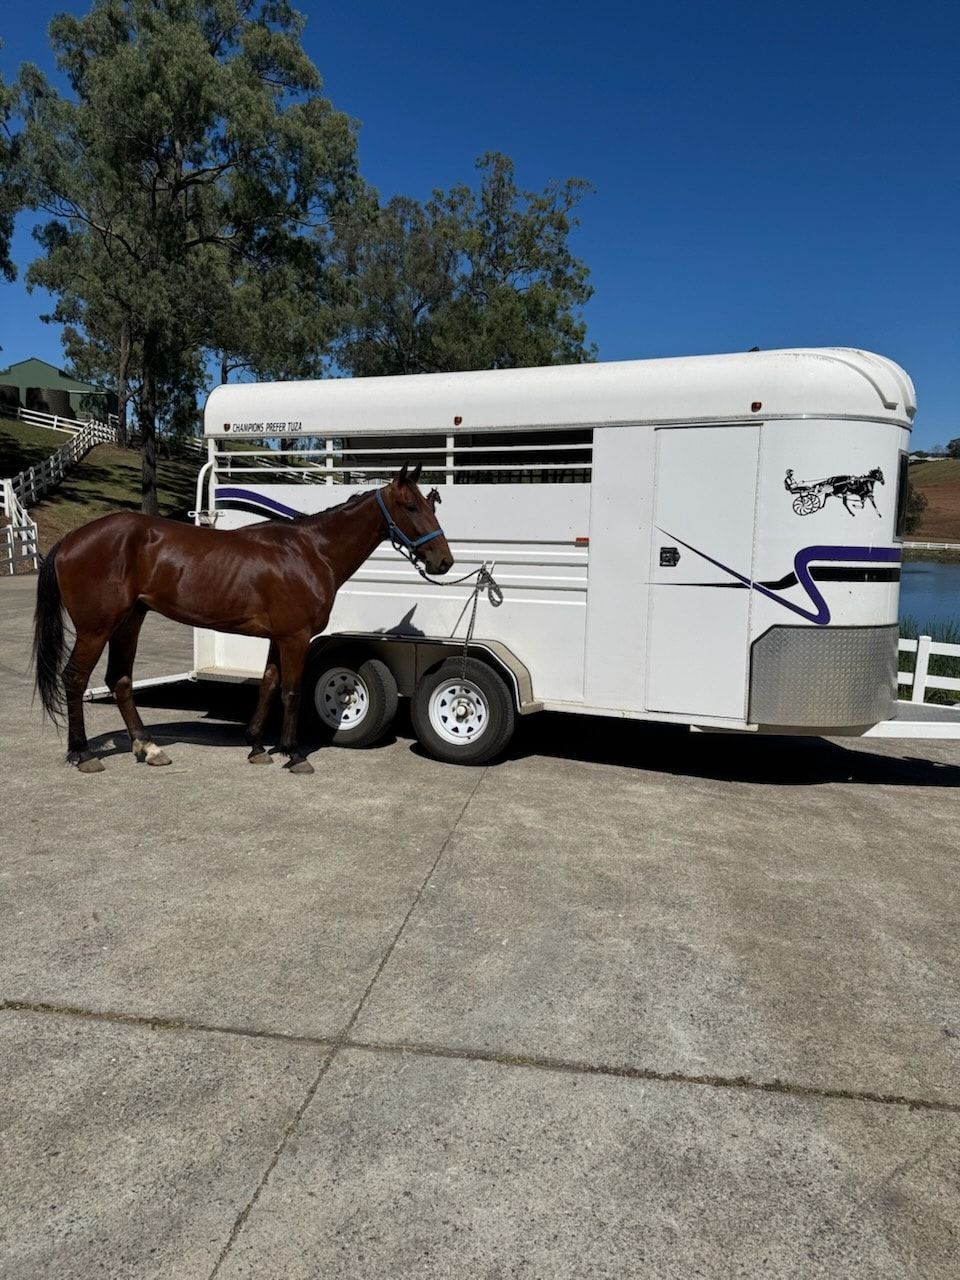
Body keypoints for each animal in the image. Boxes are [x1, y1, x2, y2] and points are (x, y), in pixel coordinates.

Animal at [32, 463, 452, 775]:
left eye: (432, 505)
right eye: (411, 507)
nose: (443, 561)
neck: (311, 552)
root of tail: (70, 540)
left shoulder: (279, 637)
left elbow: (268, 684)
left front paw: (256, 747)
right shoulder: (296, 637)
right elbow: (291, 691)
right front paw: (293, 754)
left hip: (129, 621)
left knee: (119, 680)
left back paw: (148, 748)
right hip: (96, 628)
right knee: (75, 679)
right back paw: (83, 754)